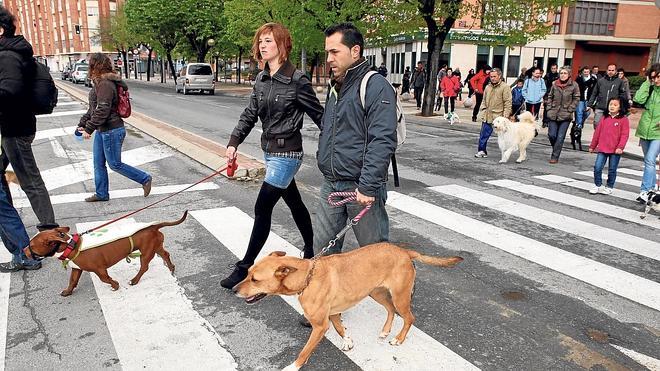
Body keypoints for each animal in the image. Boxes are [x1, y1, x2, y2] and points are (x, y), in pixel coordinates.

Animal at [23, 212, 188, 296]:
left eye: (31, 245)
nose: (22, 250)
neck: (71, 246)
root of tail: (154, 226)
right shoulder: (76, 269)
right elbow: (72, 281)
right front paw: (68, 291)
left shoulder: (99, 269)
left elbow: (105, 279)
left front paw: (115, 285)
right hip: (156, 246)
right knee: (166, 254)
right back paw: (171, 267)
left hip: (146, 252)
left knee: (144, 267)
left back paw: (134, 280)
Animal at [235, 243, 462, 370]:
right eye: (248, 273)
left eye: (254, 279)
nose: (234, 289)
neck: (307, 277)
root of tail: (405, 251)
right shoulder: (334, 313)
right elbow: (340, 328)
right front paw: (347, 341)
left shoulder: (320, 326)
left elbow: (304, 352)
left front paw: (293, 367)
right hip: (376, 292)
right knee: (390, 310)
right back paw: (385, 331)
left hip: (400, 296)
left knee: (409, 318)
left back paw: (398, 339)